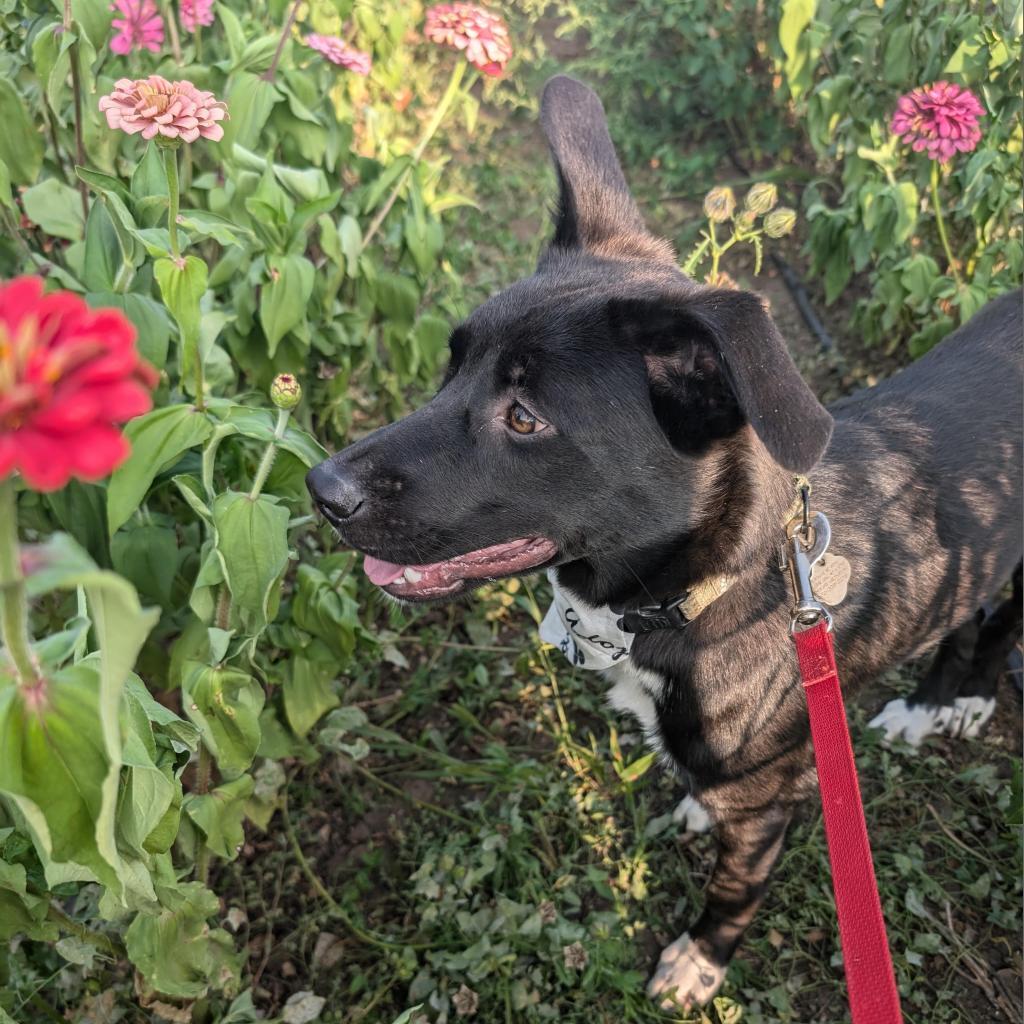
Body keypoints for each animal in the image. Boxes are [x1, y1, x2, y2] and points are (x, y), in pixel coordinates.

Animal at [305, 77, 1024, 1007]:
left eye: (525, 417)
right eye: (451, 363)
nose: (322, 490)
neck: (704, 592)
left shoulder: (764, 799)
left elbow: (734, 886)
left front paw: (699, 960)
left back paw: (960, 701)